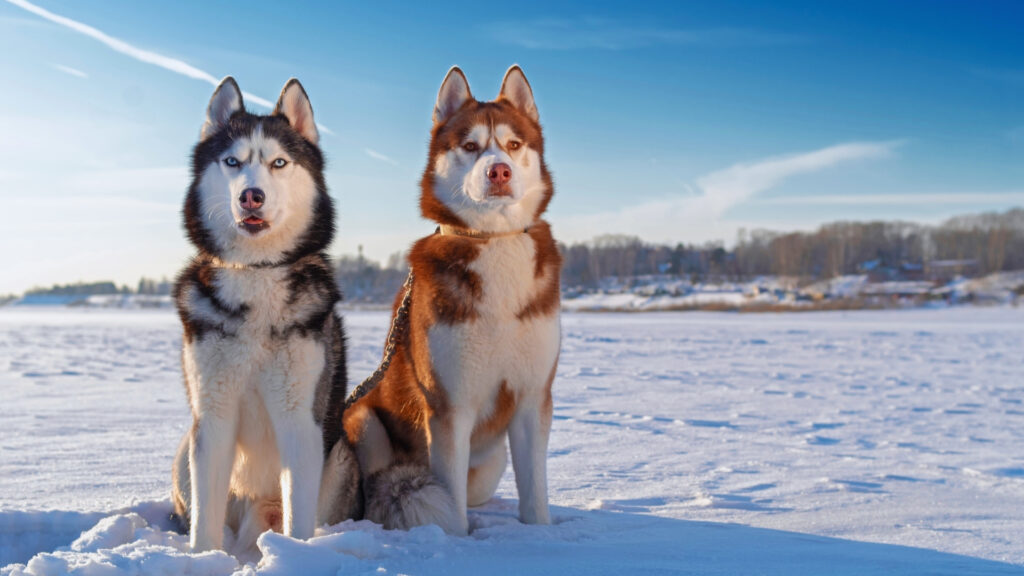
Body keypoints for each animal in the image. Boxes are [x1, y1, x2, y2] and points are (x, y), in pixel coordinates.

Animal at [170, 77, 360, 555]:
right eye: (232, 161)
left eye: (278, 163)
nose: (250, 196)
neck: (256, 275)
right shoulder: (212, 416)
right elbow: (205, 521)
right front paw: (203, 559)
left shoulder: (300, 419)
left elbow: (299, 518)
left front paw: (298, 556)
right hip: (185, 451)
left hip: (340, 457)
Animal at [342, 65, 562, 535]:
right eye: (470, 146)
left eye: (514, 145)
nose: (499, 172)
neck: (492, 240)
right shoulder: (448, 405)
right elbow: (452, 504)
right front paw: (456, 544)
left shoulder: (533, 396)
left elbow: (535, 495)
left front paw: (540, 537)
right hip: (363, 421)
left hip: (493, 462)